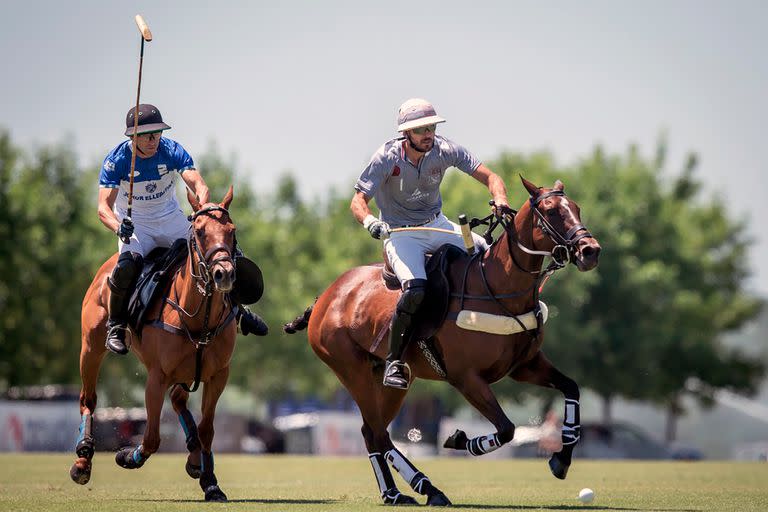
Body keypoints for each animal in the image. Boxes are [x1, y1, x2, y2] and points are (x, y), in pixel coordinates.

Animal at [73, 186, 240, 502]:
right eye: (200, 231)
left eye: (232, 231)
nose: (223, 274)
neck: (199, 317)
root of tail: (107, 266)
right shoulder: (156, 376)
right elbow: (150, 438)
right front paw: (126, 455)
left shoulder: (218, 375)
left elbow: (207, 429)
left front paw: (211, 482)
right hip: (91, 346)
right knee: (88, 399)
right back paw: (82, 460)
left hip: (186, 371)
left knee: (178, 401)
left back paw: (195, 458)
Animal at [284, 179, 604, 504]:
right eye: (551, 212)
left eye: (576, 207)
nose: (590, 251)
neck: (498, 290)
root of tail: (325, 295)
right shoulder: (465, 378)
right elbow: (506, 429)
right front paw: (460, 440)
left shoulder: (524, 366)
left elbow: (571, 388)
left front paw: (561, 460)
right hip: (351, 369)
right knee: (379, 432)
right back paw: (426, 488)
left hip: (392, 380)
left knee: (372, 432)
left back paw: (395, 493)